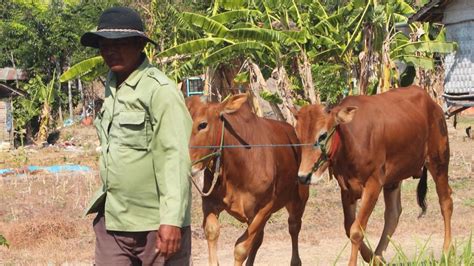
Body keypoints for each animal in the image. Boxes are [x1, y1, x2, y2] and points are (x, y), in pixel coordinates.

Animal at [187, 94, 310, 266]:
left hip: (299, 199)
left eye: (202, 124)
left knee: (293, 226)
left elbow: (241, 248)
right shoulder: (210, 201)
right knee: (259, 238)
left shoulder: (265, 207)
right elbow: (212, 232)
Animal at [292, 86, 452, 264]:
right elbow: (349, 226)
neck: (351, 142)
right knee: (393, 213)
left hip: (439, 161)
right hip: (394, 179)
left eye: (322, 135)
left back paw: (446, 251)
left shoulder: (373, 184)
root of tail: (433, 103)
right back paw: (378, 256)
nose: (303, 176)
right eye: (298, 137)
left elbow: (356, 230)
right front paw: (372, 258)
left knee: (446, 202)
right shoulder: (346, 189)